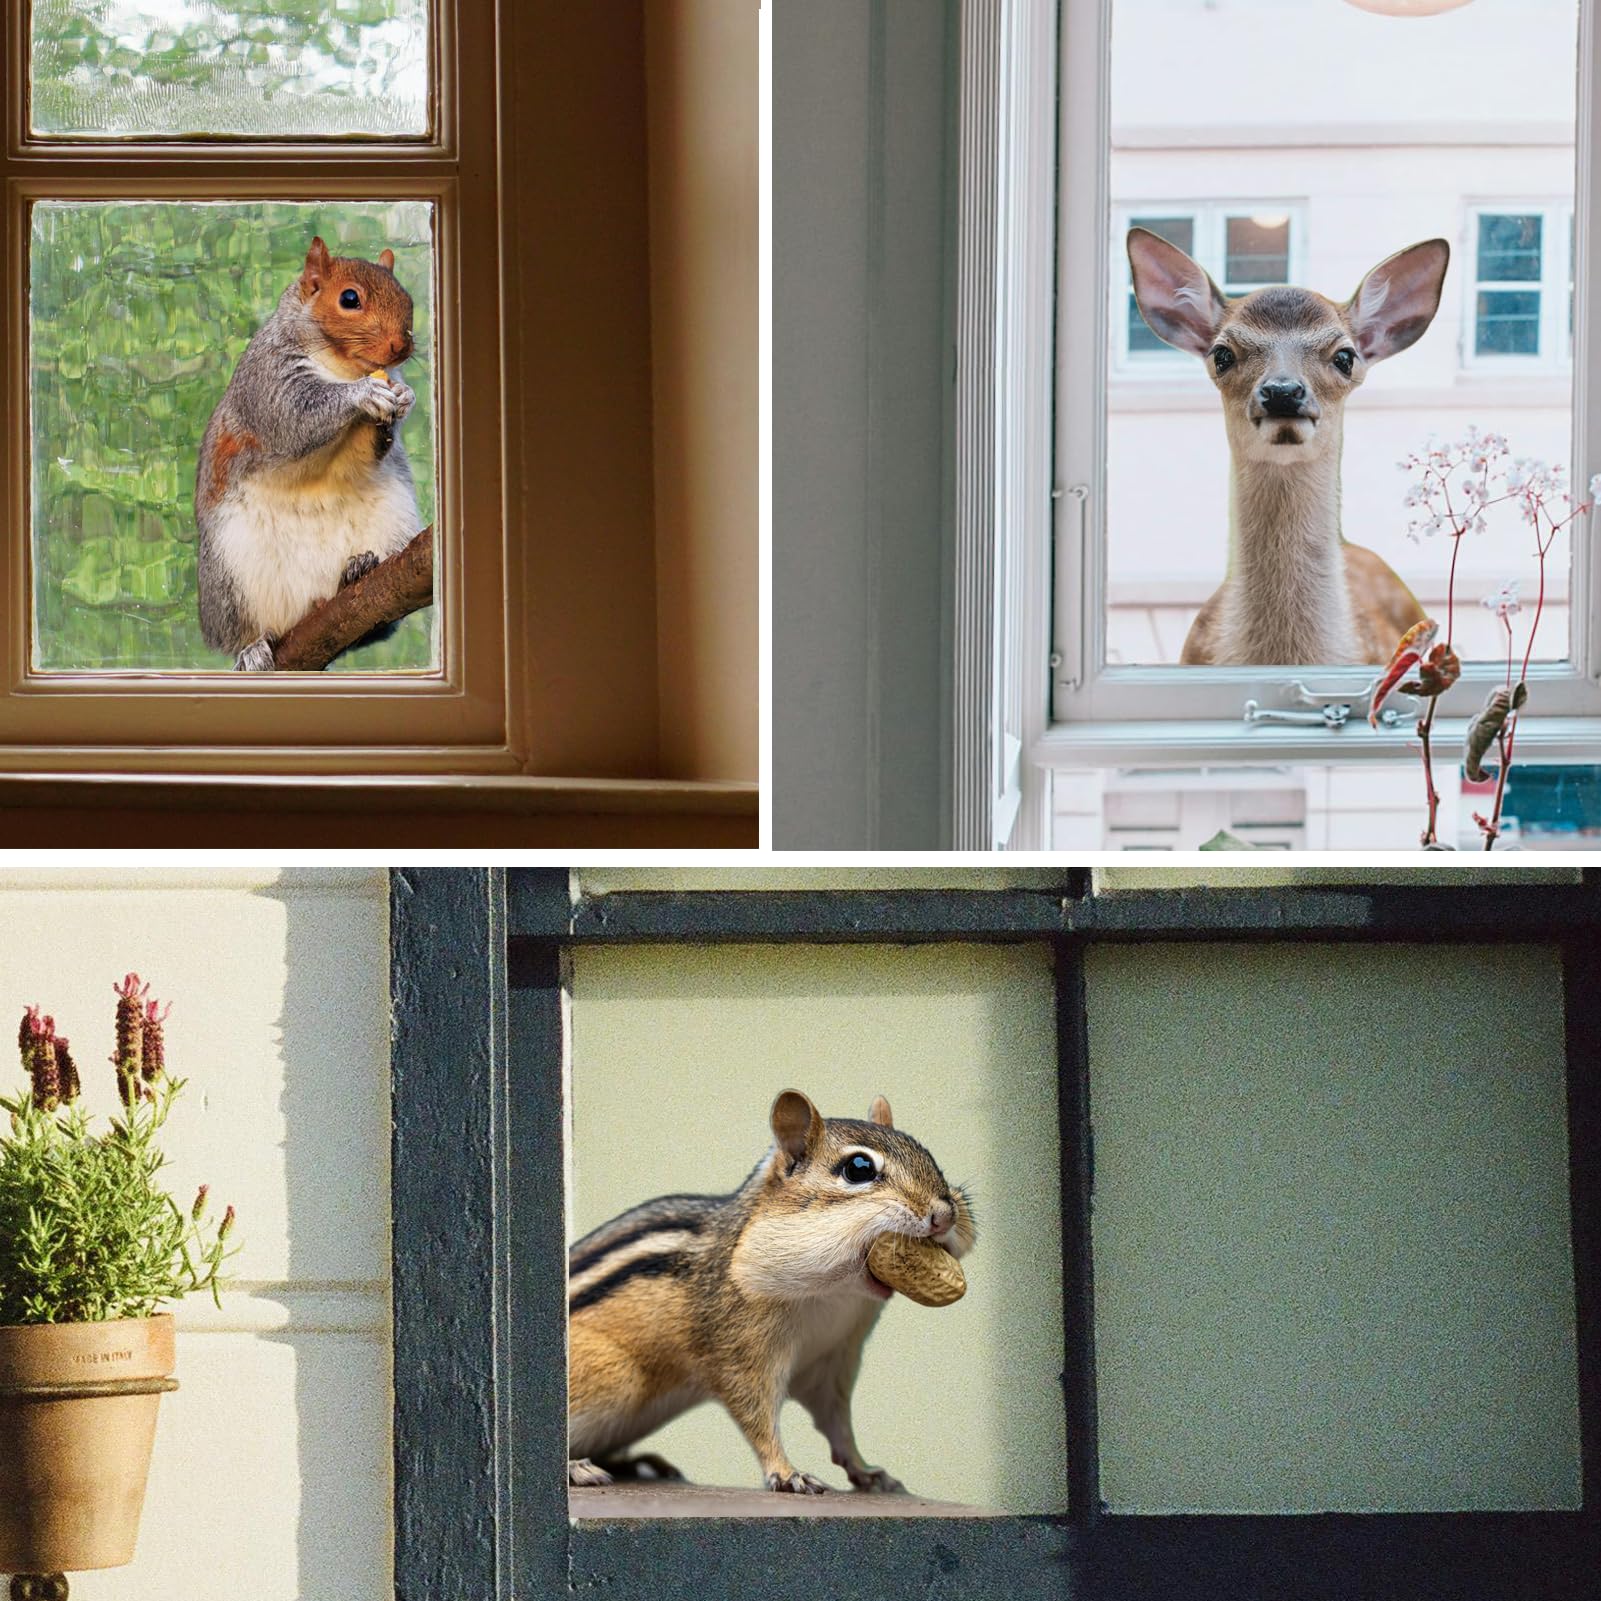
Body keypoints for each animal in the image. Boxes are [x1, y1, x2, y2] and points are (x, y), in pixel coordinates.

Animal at [194, 237, 421, 671]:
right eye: (349, 298)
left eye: (408, 297)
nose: (401, 347)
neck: (343, 366)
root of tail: (309, 607)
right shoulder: (267, 380)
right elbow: (297, 416)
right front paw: (363, 393)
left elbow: (370, 453)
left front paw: (403, 397)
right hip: (229, 579)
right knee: (241, 631)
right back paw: (251, 648)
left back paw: (358, 570)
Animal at [566, 1089, 976, 1495]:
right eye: (858, 1168)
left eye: (925, 1151)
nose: (945, 1214)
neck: (834, 1297)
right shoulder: (739, 1349)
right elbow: (757, 1416)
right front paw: (787, 1472)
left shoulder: (832, 1361)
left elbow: (838, 1425)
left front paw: (867, 1471)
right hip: (617, 1376)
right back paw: (578, 1468)